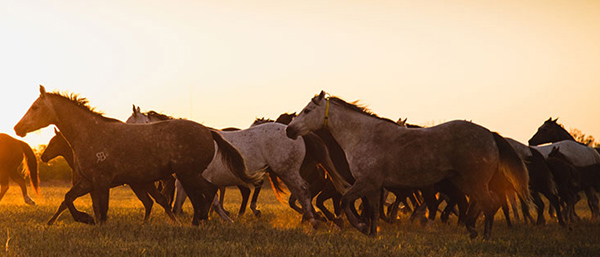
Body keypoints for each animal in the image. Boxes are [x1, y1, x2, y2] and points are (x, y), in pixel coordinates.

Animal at [41, 127, 177, 222]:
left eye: (53, 143)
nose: (43, 157)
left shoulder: (90, 187)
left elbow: (68, 203)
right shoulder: (90, 188)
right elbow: (82, 203)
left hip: (146, 184)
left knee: (160, 198)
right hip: (137, 185)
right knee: (149, 202)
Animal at [286, 90, 528, 238]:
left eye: (307, 111)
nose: (290, 130)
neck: (363, 136)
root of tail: (490, 134)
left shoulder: (366, 183)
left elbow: (346, 202)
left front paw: (361, 227)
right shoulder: (374, 186)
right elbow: (372, 210)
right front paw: (372, 233)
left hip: (472, 181)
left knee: (489, 203)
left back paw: (482, 235)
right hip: (465, 182)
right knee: (482, 203)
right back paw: (471, 229)